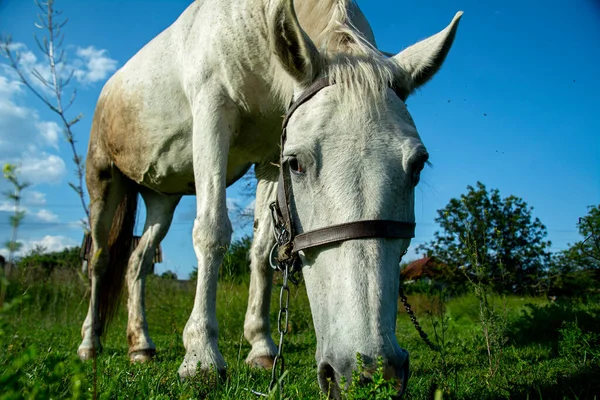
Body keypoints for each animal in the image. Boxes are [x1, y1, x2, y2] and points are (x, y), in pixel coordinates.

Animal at [78, 0, 464, 394]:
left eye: (418, 164)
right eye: (297, 164)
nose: (369, 373)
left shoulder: (266, 157)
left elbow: (263, 250)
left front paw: (261, 347)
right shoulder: (213, 115)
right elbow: (212, 231)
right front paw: (201, 357)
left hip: (161, 199)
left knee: (137, 263)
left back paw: (140, 345)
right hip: (103, 181)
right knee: (100, 260)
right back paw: (90, 343)